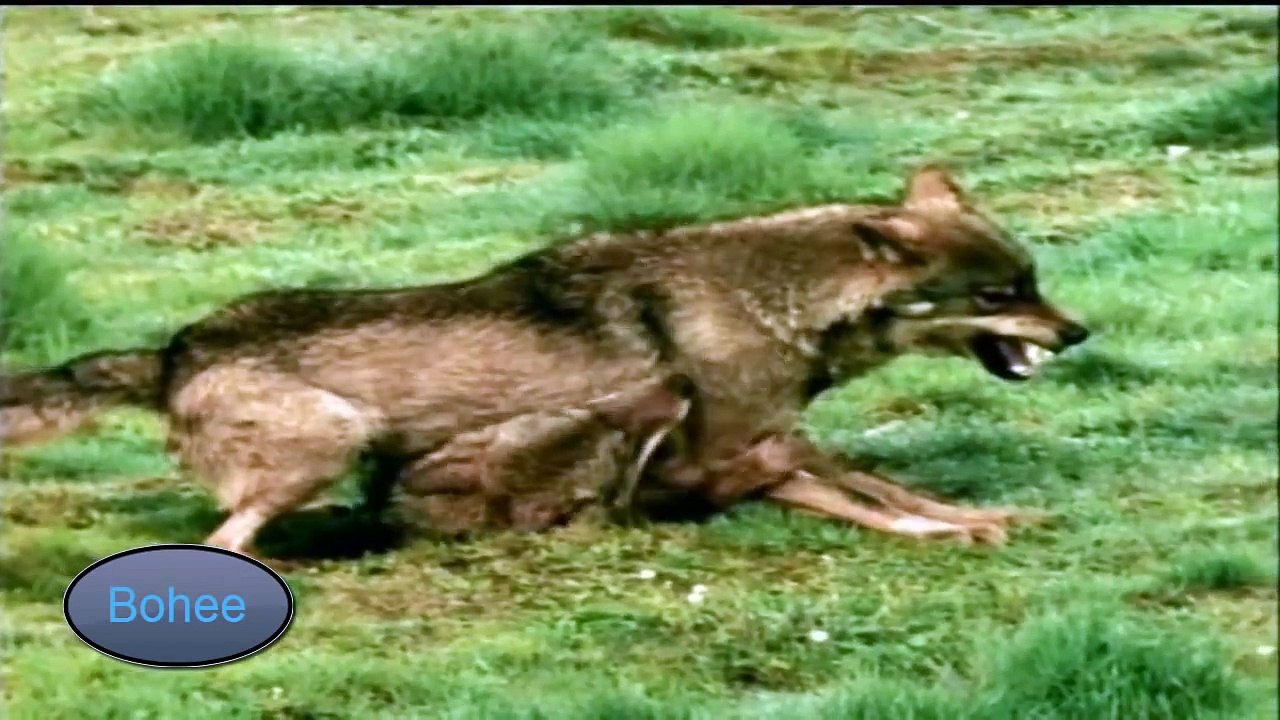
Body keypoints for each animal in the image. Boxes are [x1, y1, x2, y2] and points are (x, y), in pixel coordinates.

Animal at [1, 166, 1089, 556]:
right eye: (999, 296)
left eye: (1032, 280)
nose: (1079, 334)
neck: (771, 302)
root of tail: (173, 348)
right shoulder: (741, 449)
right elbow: (871, 504)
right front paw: (949, 532)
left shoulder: (779, 440)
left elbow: (890, 487)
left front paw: (984, 517)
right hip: (332, 442)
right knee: (226, 539)